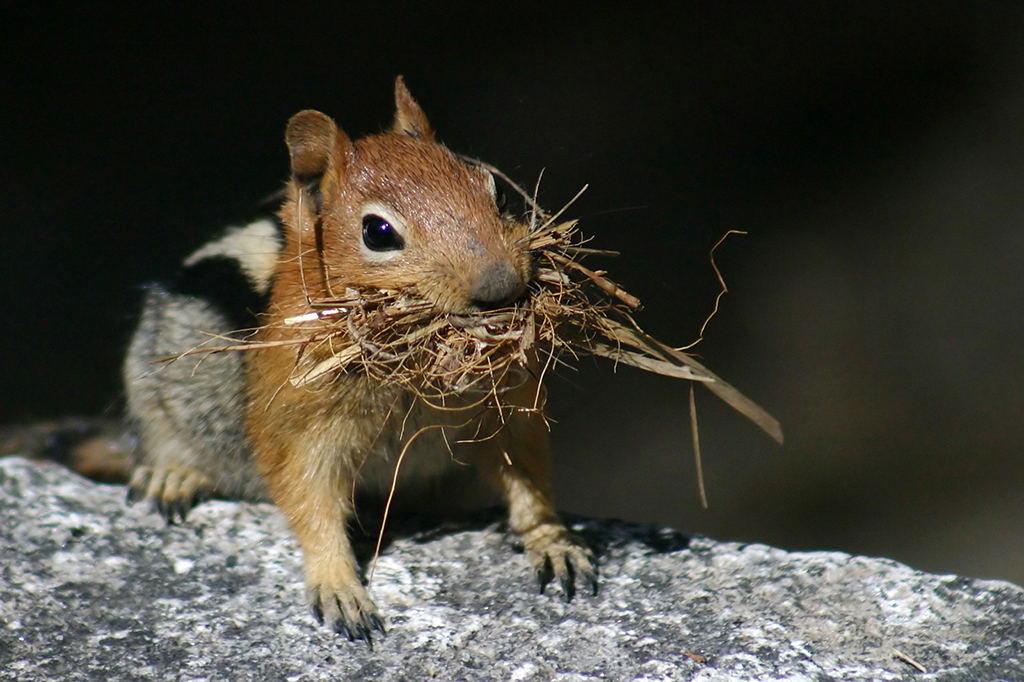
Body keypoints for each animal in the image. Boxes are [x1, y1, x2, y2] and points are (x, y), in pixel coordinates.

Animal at [122, 76, 598, 638]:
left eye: (496, 191)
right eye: (378, 232)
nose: (500, 286)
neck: (411, 372)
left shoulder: (505, 409)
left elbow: (528, 478)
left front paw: (553, 541)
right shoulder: (300, 424)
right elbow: (309, 499)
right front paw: (338, 586)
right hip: (151, 385)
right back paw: (172, 476)